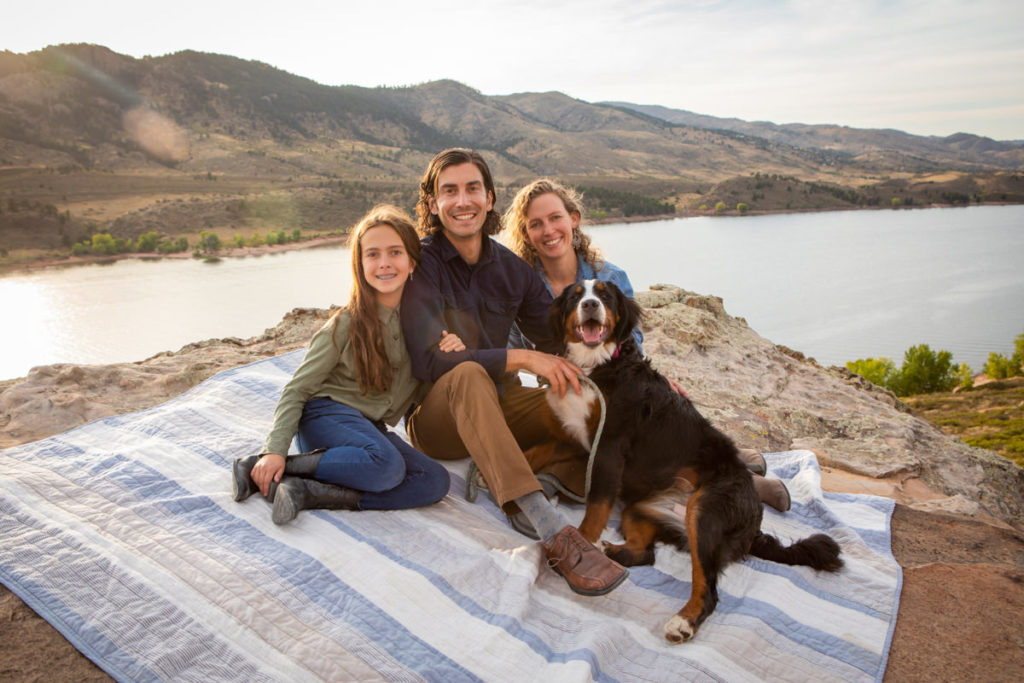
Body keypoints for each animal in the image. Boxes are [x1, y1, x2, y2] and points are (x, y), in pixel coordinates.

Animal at [528, 280, 839, 643]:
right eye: (577, 295)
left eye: (604, 295)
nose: (590, 305)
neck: (598, 365)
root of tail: (754, 524)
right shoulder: (576, 439)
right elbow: (536, 453)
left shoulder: (608, 447)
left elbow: (596, 507)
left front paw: (583, 542)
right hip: (640, 509)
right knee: (646, 554)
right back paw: (612, 552)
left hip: (705, 512)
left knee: (708, 588)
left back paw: (683, 621)